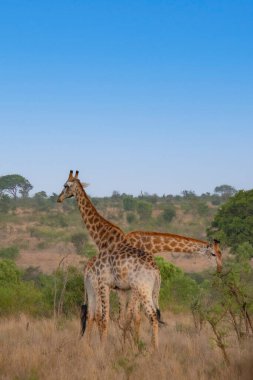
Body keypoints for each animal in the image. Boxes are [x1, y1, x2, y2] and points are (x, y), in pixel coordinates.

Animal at [57, 171, 162, 348]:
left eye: (66, 185)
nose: (58, 198)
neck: (103, 239)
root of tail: (156, 271)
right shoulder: (119, 288)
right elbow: (117, 318)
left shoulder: (103, 283)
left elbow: (105, 319)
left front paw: (103, 349)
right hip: (151, 291)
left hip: (142, 289)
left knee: (152, 316)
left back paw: (154, 350)